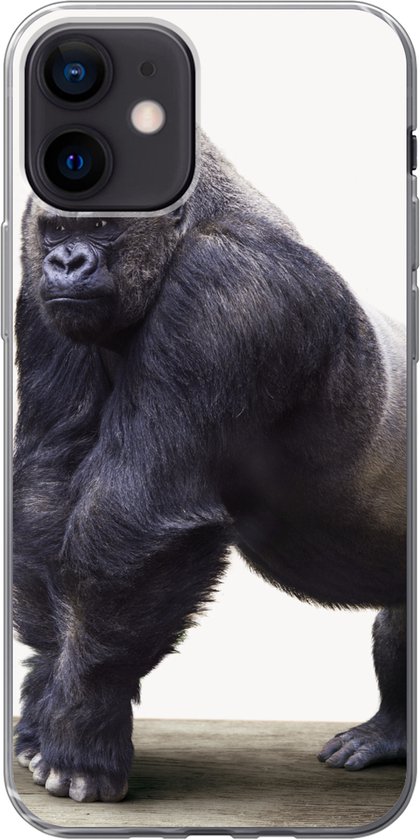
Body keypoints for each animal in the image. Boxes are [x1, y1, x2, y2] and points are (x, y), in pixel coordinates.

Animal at [13, 132, 406, 803]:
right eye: (58, 228)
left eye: (101, 225)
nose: (65, 262)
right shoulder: (36, 293)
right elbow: (48, 486)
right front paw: (46, 704)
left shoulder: (227, 291)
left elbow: (137, 524)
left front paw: (83, 730)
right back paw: (392, 731)